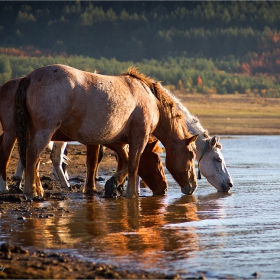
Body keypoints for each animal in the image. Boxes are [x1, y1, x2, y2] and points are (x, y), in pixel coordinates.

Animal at [12, 64, 197, 198]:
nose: (193, 186)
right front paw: (130, 194)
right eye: (191, 155)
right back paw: (32, 192)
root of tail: (29, 77)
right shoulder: (139, 137)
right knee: (32, 155)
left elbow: (122, 162)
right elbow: (133, 164)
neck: (150, 98)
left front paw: (114, 185)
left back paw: (38, 190)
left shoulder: (118, 140)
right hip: (45, 131)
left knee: (32, 160)